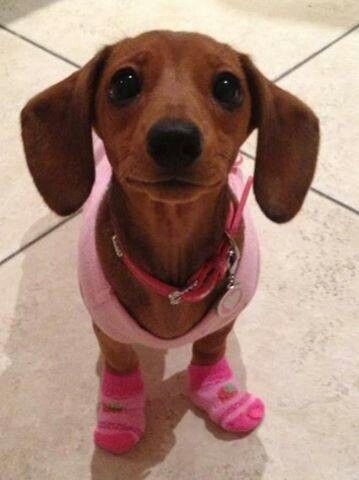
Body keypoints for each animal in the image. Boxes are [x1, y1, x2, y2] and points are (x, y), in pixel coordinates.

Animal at [20, 31, 320, 454]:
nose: (174, 140)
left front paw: (223, 397)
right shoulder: (108, 329)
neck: (172, 239)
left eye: (228, 87)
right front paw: (119, 415)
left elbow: (210, 348)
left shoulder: (224, 318)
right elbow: (121, 362)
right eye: (124, 82)